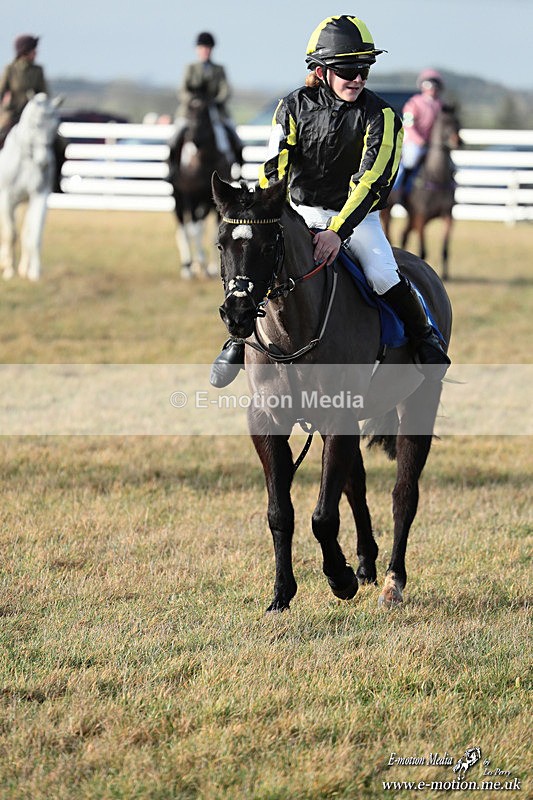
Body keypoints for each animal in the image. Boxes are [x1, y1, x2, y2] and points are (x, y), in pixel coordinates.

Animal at [0, 93, 62, 282]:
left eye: (56, 126)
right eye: (36, 124)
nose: (44, 162)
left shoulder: (39, 196)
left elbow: (33, 234)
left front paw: (33, 272)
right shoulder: (5, 197)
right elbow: (9, 233)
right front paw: (8, 269)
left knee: (25, 231)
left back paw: (23, 267)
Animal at [168, 98, 239, 279]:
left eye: (205, 116)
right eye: (189, 113)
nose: (193, 139)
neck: (205, 159)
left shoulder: (214, 201)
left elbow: (212, 230)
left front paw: (210, 268)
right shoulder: (191, 197)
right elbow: (194, 230)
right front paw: (198, 264)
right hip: (178, 199)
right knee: (184, 229)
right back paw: (188, 267)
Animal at [212, 172, 452, 612]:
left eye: (268, 245)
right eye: (222, 243)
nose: (237, 314)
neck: (292, 333)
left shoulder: (338, 417)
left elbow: (323, 516)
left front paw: (339, 579)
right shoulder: (268, 421)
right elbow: (280, 512)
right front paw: (281, 593)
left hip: (419, 402)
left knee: (404, 493)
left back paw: (392, 581)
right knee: (356, 483)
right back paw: (367, 562)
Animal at [381, 105, 462, 281]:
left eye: (458, 121)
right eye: (445, 122)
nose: (458, 141)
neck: (436, 176)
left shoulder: (448, 215)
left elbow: (445, 248)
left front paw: (445, 274)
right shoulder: (421, 217)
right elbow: (423, 250)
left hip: (411, 216)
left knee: (404, 234)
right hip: (388, 210)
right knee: (389, 231)